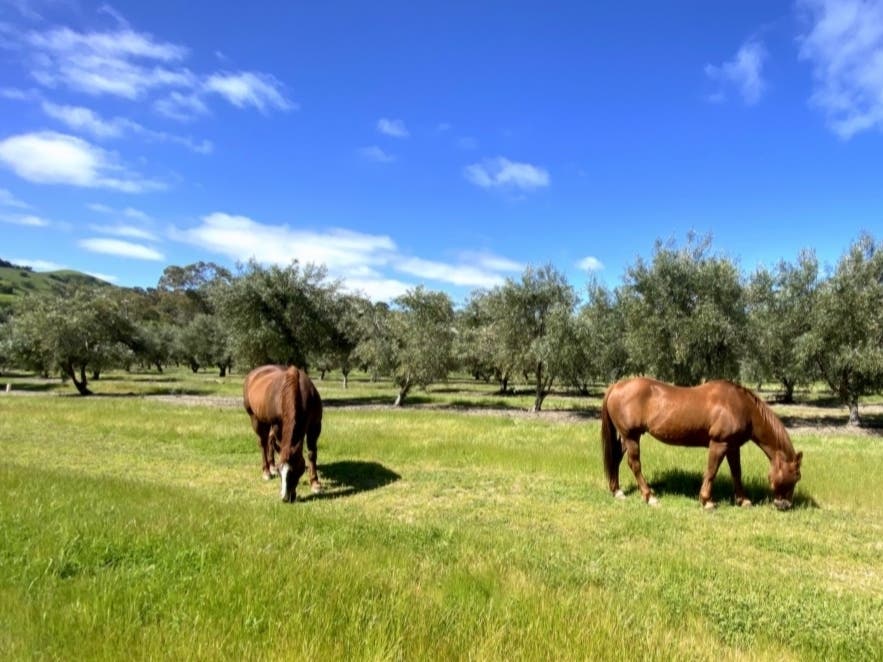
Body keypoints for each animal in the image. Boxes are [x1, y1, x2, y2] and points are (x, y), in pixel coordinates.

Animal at [243, 365, 323, 502]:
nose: (285, 498)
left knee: (270, 441)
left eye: (297, 469)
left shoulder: (315, 425)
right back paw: (266, 471)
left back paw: (271, 466)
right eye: (281, 471)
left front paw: (315, 483)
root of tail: (252, 375)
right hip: (256, 419)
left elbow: (312, 454)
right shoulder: (278, 425)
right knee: (263, 443)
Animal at [600, 377, 803, 510]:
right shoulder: (719, 443)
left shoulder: (733, 446)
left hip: (628, 437)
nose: (785, 505)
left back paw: (617, 491)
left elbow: (736, 473)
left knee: (616, 459)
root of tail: (616, 386)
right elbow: (712, 471)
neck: (741, 407)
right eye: (796, 477)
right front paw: (707, 501)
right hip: (631, 437)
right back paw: (649, 497)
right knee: (634, 464)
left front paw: (743, 500)